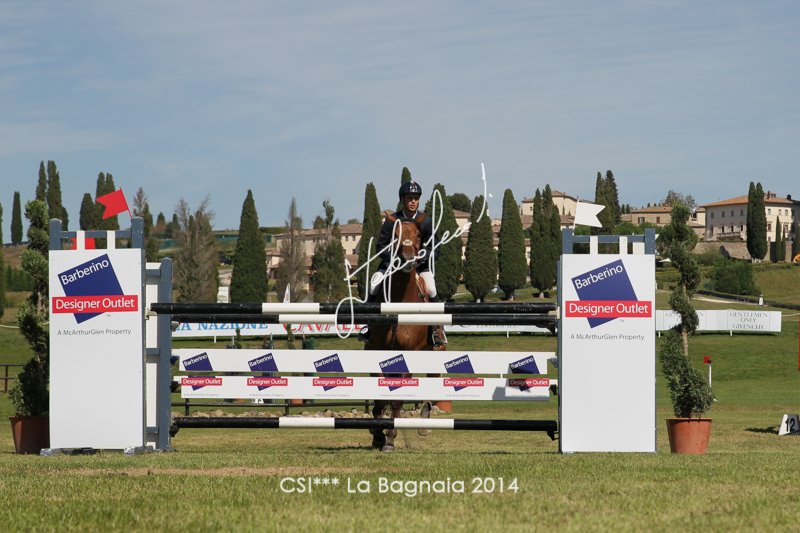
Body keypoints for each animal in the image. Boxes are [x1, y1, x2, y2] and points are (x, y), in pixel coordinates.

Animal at [365, 215, 436, 452]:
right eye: (395, 236)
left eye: (418, 235)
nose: (407, 260)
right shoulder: (378, 353)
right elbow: (380, 398)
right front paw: (378, 435)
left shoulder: (410, 355)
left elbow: (396, 400)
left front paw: (389, 439)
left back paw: (424, 419)